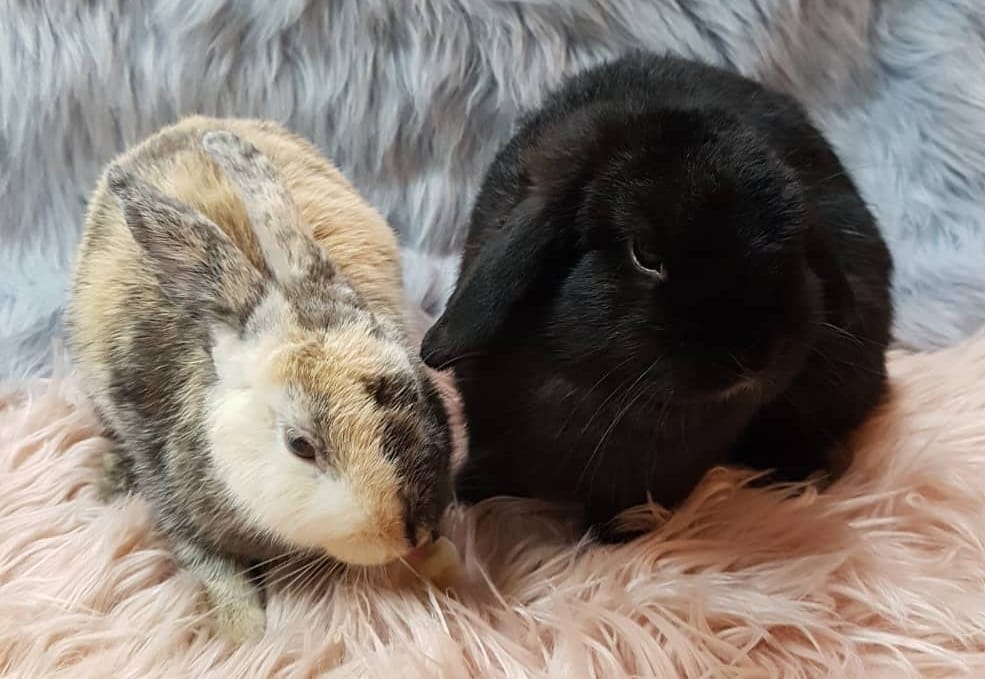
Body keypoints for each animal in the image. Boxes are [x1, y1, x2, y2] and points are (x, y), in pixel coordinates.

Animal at [66, 116, 453, 640]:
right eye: (300, 445)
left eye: (418, 390)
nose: (413, 531)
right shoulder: (172, 500)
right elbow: (214, 570)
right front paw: (244, 633)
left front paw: (444, 563)